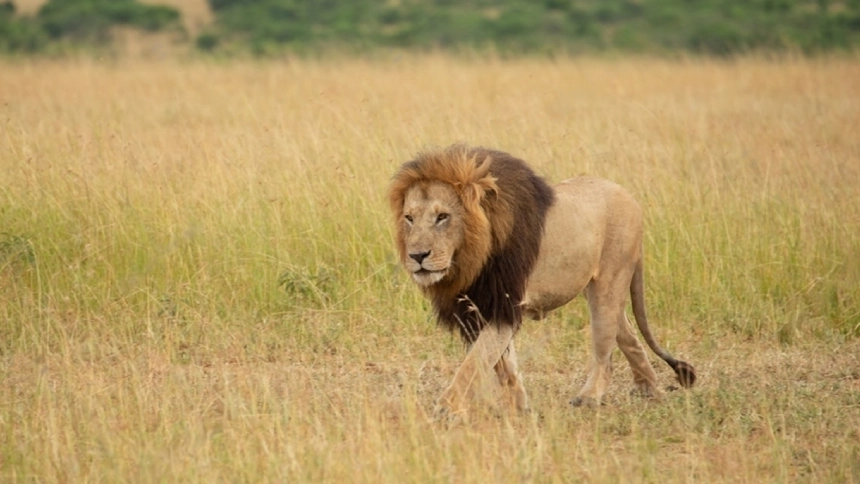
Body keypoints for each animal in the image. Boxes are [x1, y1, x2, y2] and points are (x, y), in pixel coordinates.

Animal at [388, 144, 696, 415]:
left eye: (442, 216)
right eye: (409, 218)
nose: (417, 255)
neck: (469, 260)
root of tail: (629, 196)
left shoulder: (503, 304)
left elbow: (474, 364)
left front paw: (446, 408)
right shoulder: (481, 307)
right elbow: (504, 365)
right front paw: (519, 406)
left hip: (609, 283)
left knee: (605, 351)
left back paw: (589, 397)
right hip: (596, 287)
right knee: (628, 335)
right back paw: (648, 388)